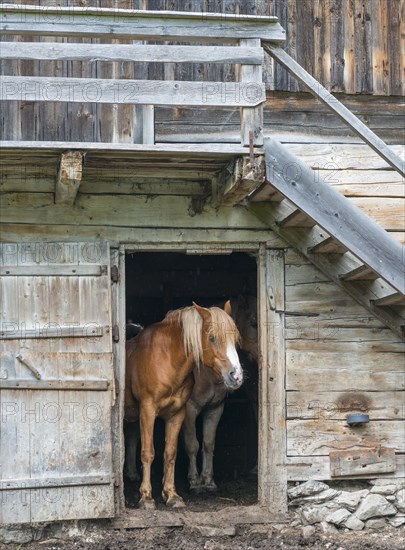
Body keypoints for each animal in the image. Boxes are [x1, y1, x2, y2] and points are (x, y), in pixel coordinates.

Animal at [124, 304, 241, 512]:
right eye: (212, 337)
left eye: (235, 338)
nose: (236, 376)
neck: (167, 360)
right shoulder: (148, 410)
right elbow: (148, 452)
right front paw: (146, 497)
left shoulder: (177, 414)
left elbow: (171, 452)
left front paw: (172, 495)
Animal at [181, 298, 258, 496]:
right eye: (254, 323)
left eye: (236, 338)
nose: (237, 376)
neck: (206, 373)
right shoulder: (189, 409)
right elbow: (192, 444)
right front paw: (195, 482)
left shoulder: (215, 408)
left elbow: (208, 443)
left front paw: (208, 481)